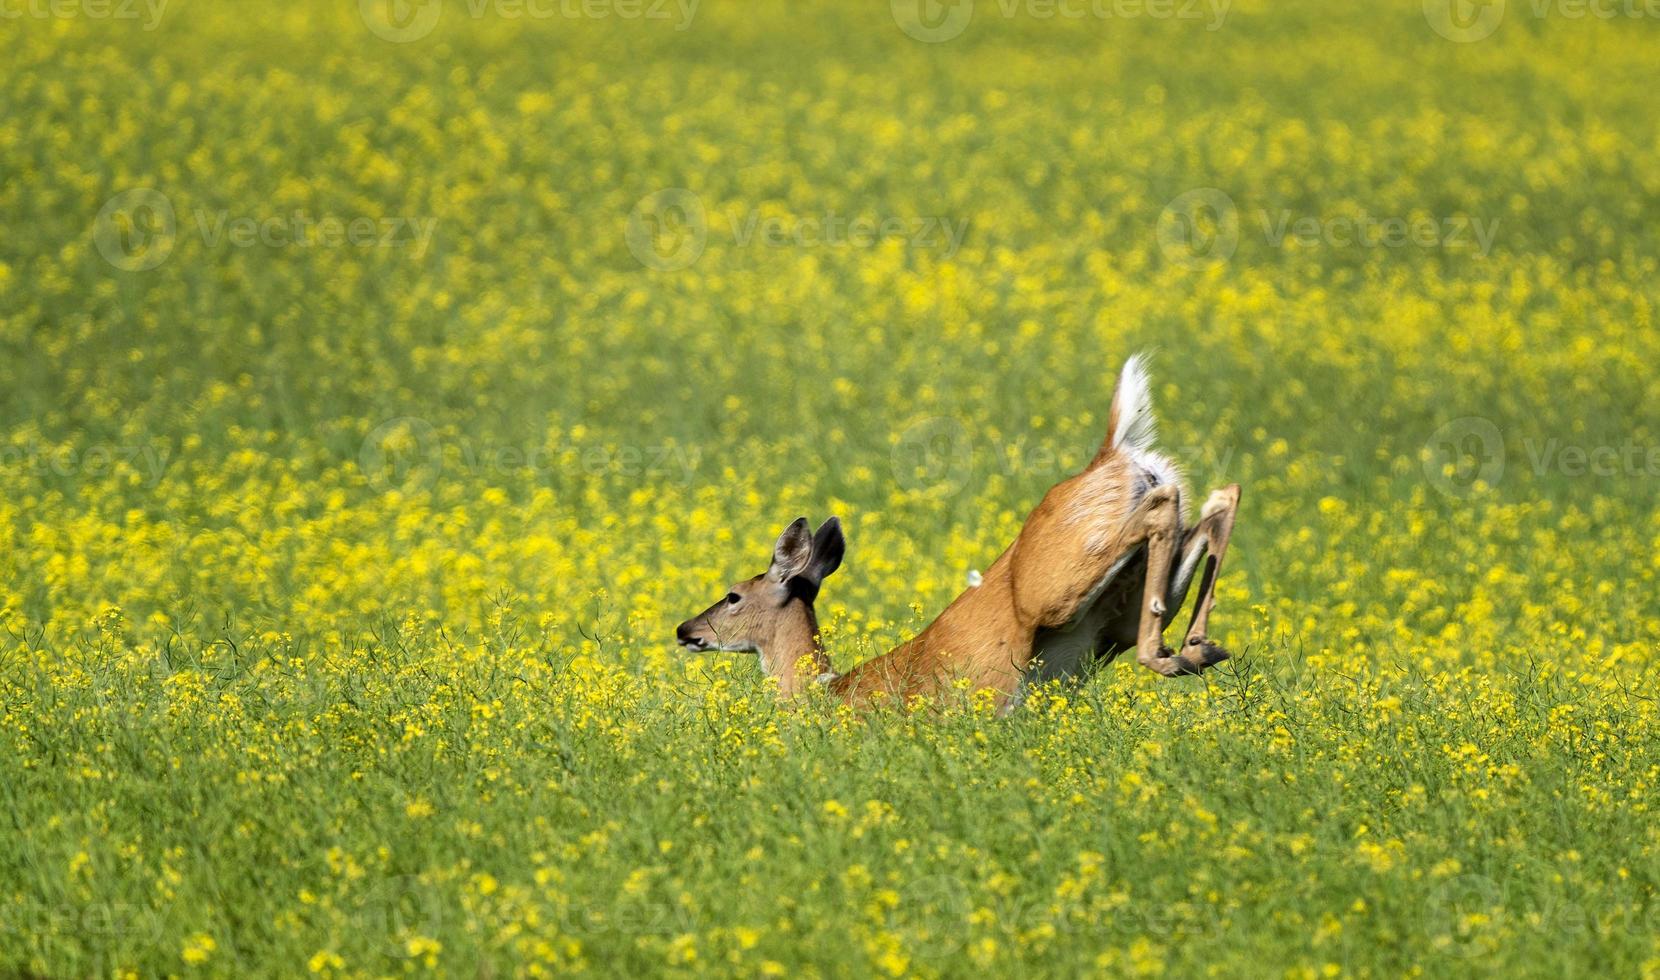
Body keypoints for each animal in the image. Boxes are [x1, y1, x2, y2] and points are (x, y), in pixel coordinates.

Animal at [667, 357, 1241, 710]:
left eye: (733, 595)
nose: (685, 629)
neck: (825, 694)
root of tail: (1109, 454)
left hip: (1060, 583)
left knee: (1166, 507)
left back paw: (1173, 655)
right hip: (1117, 608)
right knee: (1217, 498)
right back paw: (1197, 648)